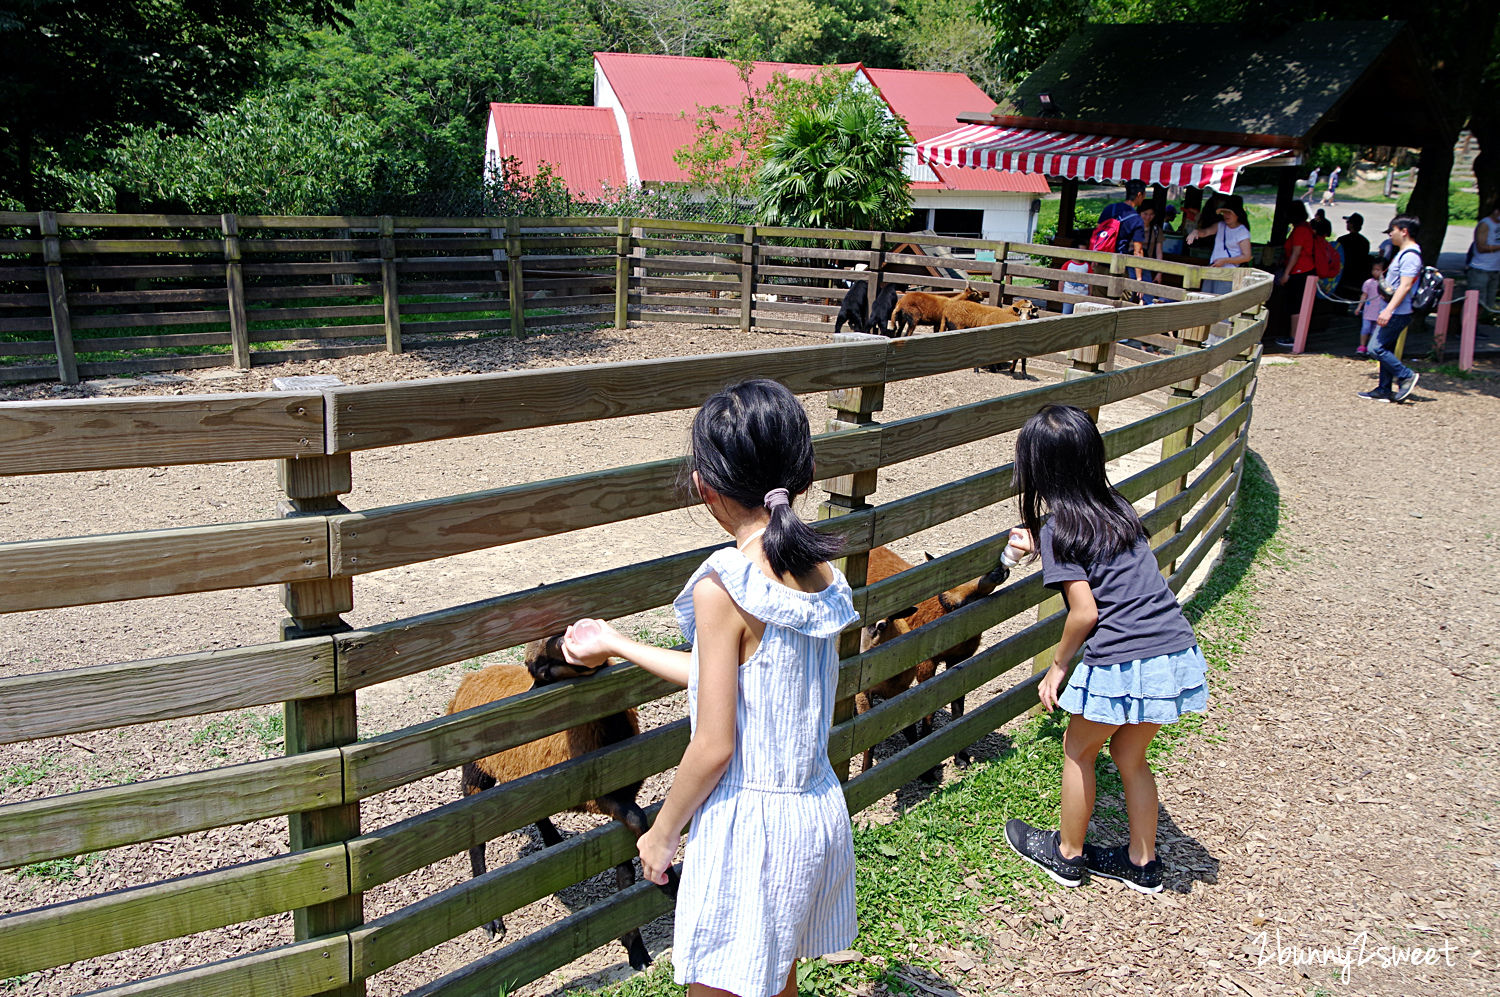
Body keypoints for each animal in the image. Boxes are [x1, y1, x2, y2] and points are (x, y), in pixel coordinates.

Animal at [447, 632, 678, 965]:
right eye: (541, 670)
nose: (566, 643)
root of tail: (470, 678)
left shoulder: (624, 791)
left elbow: (625, 868)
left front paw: (635, 948)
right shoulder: (597, 794)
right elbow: (638, 819)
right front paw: (670, 884)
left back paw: (553, 841)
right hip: (476, 772)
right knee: (476, 840)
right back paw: (492, 922)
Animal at [858, 545, 1008, 779]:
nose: (1000, 570)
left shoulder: (960, 659)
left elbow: (958, 707)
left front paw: (961, 757)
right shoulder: (925, 664)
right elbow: (928, 711)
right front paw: (927, 765)